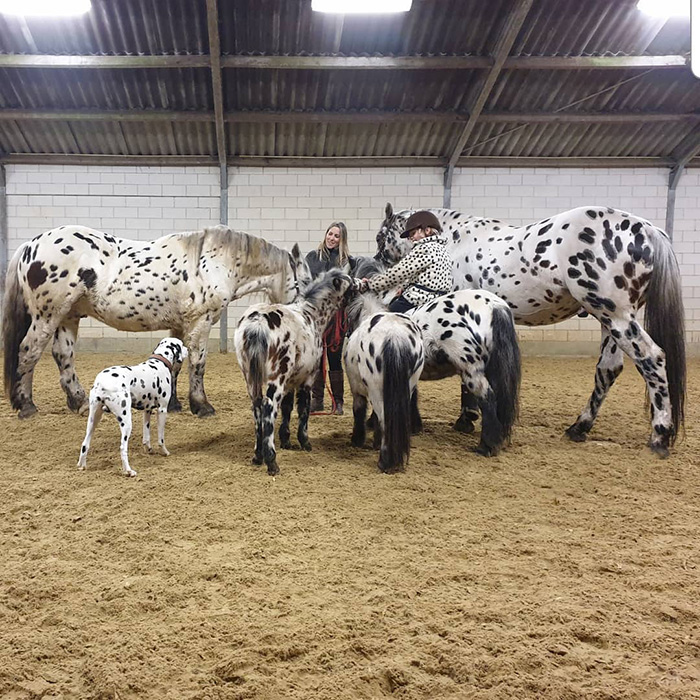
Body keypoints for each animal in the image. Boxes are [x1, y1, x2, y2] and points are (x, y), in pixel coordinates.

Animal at [4, 227, 306, 418]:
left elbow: (175, 365)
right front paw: (201, 406)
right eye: (303, 281)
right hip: (47, 315)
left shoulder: (180, 325)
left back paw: (77, 401)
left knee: (63, 355)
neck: (216, 261)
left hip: (67, 316)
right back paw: (26, 405)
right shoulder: (201, 322)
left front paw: (173, 404)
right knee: (29, 351)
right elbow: (197, 364)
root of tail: (31, 245)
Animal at [77, 338, 187, 476]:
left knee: (85, 444)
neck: (160, 363)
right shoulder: (162, 410)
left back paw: (82, 466)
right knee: (123, 447)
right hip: (126, 422)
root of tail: (102, 382)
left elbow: (146, 436)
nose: (188, 349)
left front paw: (148, 449)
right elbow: (161, 439)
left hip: (93, 420)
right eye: (182, 345)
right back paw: (128, 471)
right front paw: (165, 452)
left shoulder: (147, 410)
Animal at [235, 268, 356, 476]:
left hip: (251, 378)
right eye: (350, 283)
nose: (361, 285)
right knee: (268, 408)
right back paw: (272, 462)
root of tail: (257, 323)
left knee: (257, 407)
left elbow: (287, 408)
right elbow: (303, 409)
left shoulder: (290, 382)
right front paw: (304, 442)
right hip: (275, 380)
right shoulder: (307, 379)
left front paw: (286, 440)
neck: (311, 315)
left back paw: (258, 456)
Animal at [374, 204, 688, 460]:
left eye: (380, 237)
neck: (452, 242)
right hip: (610, 320)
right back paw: (579, 427)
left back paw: (659, 435)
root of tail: (647, 229)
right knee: (608, 369)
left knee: (652, 359)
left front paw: (466, 418)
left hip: (616, 315)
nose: (377, 262)